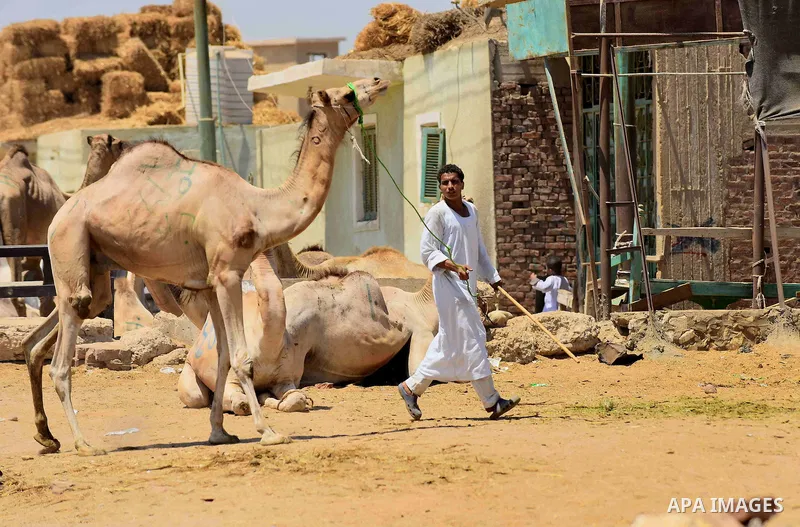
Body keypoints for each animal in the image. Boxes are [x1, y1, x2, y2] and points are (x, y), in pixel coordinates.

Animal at [22, 78, 390, 454]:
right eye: (345, 93)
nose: (379, 80)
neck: (257, 207)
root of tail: (59, 214)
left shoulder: (211, 283)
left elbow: (224, 356)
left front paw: (219, 433)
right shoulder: (228, 273)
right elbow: (242, 357)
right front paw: (268, 432)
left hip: (93, 266)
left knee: (49, 333)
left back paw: (46, 435)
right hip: (69, 241)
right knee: (61, 358)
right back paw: (84, 443)